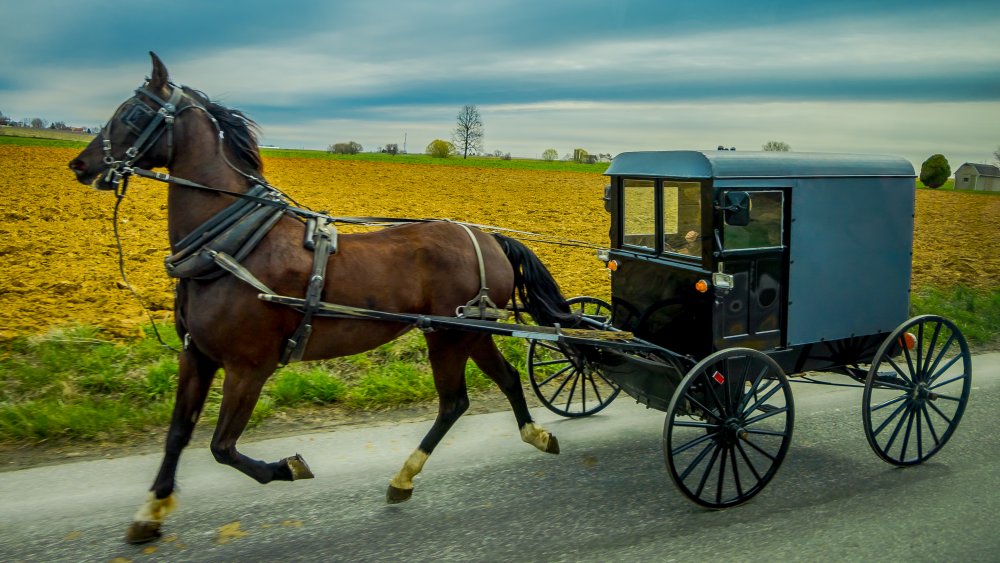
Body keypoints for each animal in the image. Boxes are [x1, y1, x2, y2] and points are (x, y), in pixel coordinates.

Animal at [68, 53, 580, 548]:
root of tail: (488, 237)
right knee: (504, 380)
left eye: (132, 112)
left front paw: (287, 467)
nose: (81, 166)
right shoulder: (197, 354)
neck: (232, 247)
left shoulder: (248, 367)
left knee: (454, 402)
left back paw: (405, 475)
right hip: (467, 332)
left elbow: (222, 447)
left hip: (450, 336)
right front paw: (149, 513)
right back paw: (533, 436)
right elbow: (177, 435)